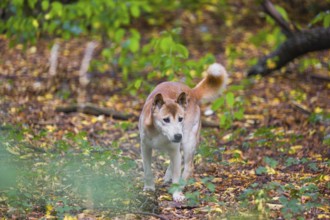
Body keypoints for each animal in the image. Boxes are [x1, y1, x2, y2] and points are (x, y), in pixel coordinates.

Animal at [138, 62, 228, 202]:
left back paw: (180, 185)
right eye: (166, 120)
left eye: (180, 119)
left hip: (188, 142)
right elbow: (147, 170)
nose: (178, 136)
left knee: (188, 167)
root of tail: (191, 91)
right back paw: (167, 177)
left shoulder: (175, 149)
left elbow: (177, 173)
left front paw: (177, 193)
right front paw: (149, 188)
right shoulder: (145, 147)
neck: (159, 134)